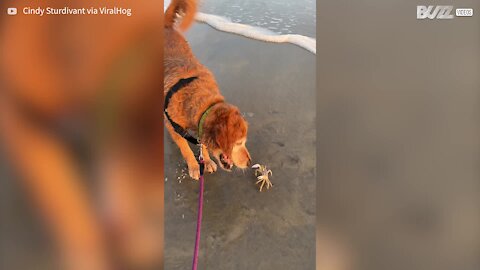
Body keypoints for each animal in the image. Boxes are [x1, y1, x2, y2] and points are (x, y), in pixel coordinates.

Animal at [165, 0, 253, 179]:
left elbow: (202, 145)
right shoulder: (173, 127)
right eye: (238, 143)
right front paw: (193, 166)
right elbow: (185, 148)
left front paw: (205, 160)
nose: (249, 162)